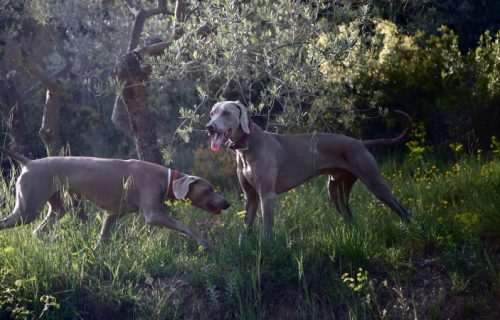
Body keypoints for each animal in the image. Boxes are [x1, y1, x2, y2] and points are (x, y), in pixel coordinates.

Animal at [0, 146, 230, 249]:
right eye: (209, 189)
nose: (226, 203)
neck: (164, 177)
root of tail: (29, 162)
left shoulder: (113, 214)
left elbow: (103, 236)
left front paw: (95, 252)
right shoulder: (153, 215)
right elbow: (186, 227)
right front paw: (205, 243)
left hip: (56, 207)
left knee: (39, 230)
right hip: (27, 209)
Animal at [205, 101, 412, 239]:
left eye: (226, 113)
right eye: (212, 113)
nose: (209, 127)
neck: (247, 147)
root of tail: (360, 143)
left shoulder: (267, 195)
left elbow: (267, 228)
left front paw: (265, 248)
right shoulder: (251, 197)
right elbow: (246, 226)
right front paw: (244, 247)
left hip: (375, 182)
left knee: (402, 209)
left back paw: (410, 230)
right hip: (336, 190)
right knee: (349, 215)